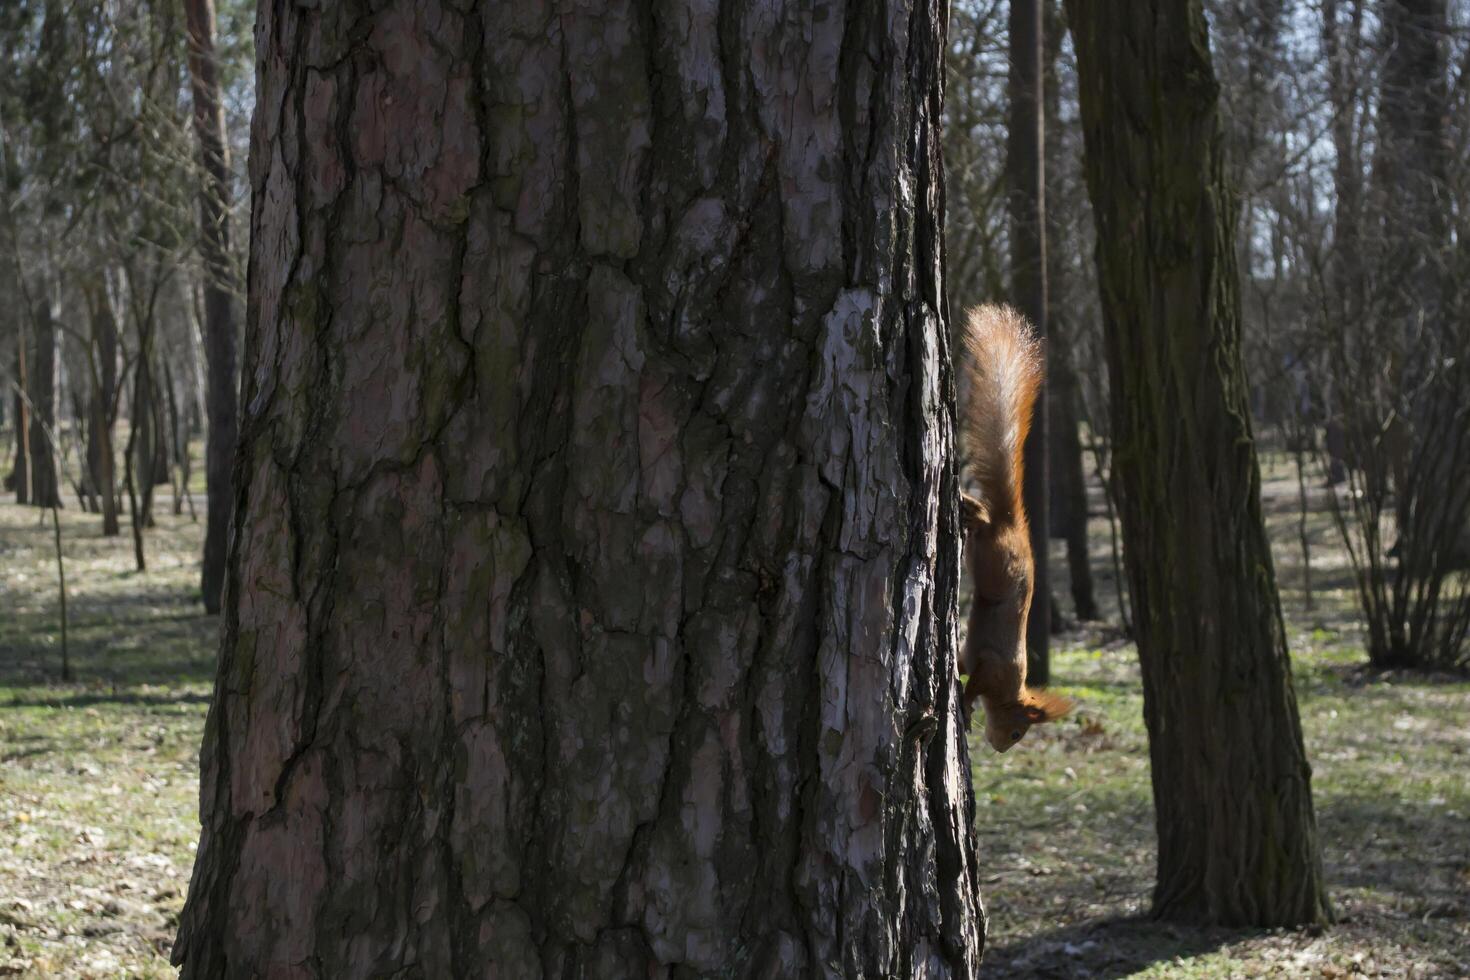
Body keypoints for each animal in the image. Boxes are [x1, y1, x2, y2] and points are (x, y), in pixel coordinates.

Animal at [952, 304, 1070, 752]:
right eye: (1019, 731)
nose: (1002, 747)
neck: (1009, 690)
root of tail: (1014, 524)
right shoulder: (995, 666)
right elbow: (976, 680)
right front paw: (967, 704)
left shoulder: (974, 654)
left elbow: (963, 663)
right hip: (998, 560)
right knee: (987, 523)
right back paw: (970, 507)